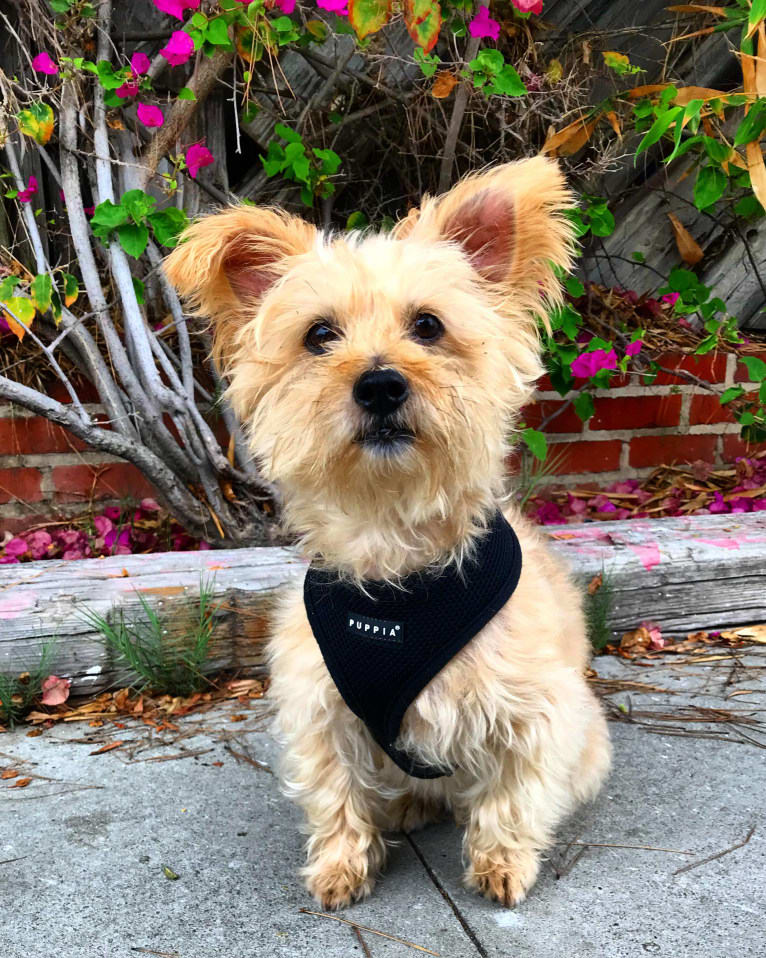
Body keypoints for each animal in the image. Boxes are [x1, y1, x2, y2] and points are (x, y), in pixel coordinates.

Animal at [166, 159, 612, 916]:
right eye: (319, 335)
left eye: (428, 326)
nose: (379, 385)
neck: (395, 557)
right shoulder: (320, 713)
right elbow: (334, 795)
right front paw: (341, 865)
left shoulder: (535, 712)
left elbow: (512, 797)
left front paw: (502, 862)